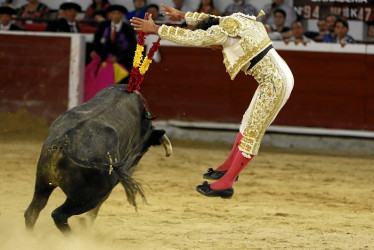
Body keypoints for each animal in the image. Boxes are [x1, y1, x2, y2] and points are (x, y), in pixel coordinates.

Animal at [24, 84, 173, 232]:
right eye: (142, 153)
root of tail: (63, 144)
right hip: (88, 197)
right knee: (59, 214)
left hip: (43, 182)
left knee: (33, 210)